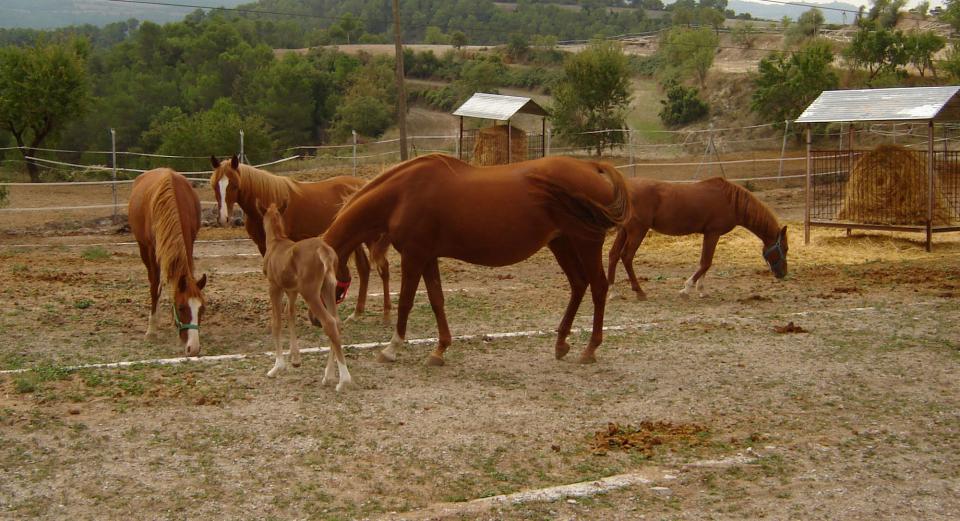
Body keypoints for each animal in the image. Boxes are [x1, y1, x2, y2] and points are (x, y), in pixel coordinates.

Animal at [128, 169, 207, 356]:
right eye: (181, 307)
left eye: (202, 309)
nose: (193, 348)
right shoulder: (152, 250)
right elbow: (155, 287)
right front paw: (151, 330)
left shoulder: (189, 242)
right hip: (143, 248)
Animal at [210, 155, 390, 320]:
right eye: (215, 186)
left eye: (234, 185)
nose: (224, 218)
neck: (270, 205)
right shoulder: (263, 246)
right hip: (355, 237)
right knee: (364, 268)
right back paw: (357, 312)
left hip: (369, 237)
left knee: (383, 268)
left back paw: (386, 313)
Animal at [260, 203, 354, 390]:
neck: (276, 242)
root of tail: (323, 250)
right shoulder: (292, 290)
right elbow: (290, 313)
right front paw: (295, 359)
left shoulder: (274, 286)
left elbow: (276, 322)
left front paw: (277, 367)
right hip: (328, 288)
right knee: (336, 322)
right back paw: (328, 376)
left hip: (310, 292)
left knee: (329, 322)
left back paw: (343, 380)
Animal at [322, 154, 632, 366]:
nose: (317, 320)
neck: (403, 194)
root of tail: (591, 166)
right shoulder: (428, 258)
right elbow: (436, 300)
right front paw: (440, 349)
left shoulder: (414, 256)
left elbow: (406, 302)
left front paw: (391, 348)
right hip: (562, 243)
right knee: (579, 285)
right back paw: (561, 343)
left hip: (586, 243)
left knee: (598, 287)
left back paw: (590, 348)